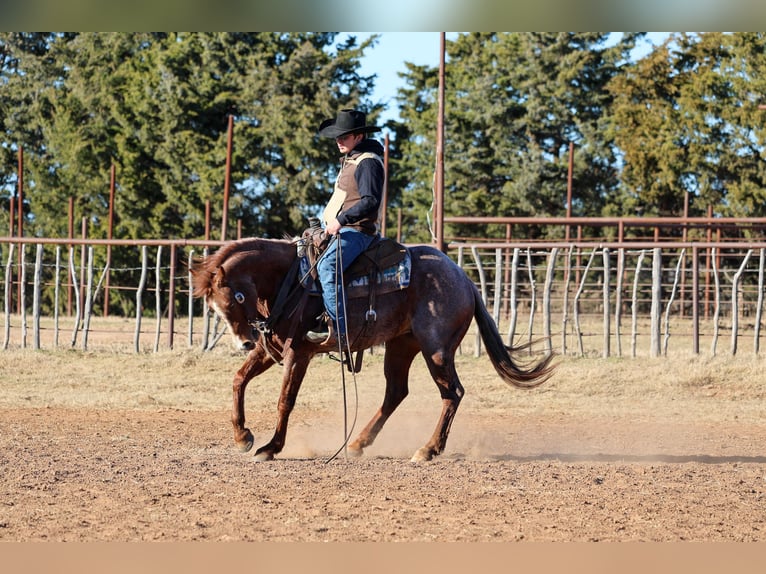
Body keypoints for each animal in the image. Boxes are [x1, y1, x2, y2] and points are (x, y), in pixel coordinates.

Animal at [191, 236, 555, 462]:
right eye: (213, 307)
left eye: (236, 297)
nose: (245, 342)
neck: (291, 280)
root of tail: (465, 281)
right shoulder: (270, 350)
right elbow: (239, 380)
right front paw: (243, 436)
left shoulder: (299, 353)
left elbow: (285, 400)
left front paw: (270, 447)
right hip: (401, 346)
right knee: (396, 392)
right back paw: (357, 443)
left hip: (436, 349)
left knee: (452, 392)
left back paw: (427, 450)